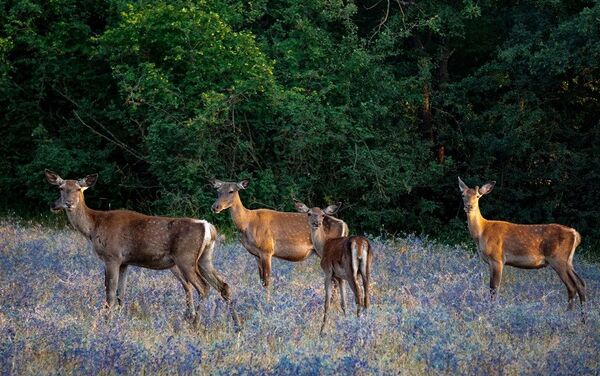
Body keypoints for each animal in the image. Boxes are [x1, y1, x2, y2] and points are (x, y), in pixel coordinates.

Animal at [45, 169, 239, 328]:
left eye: (79, 189)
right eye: (61, 188)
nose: (67, 203)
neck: (94, 227)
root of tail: (208, 227)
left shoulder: (112, 256)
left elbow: (109, 292)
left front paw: (107, 321)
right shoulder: (125, 262)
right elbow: (121, 293)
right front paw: (119, 319)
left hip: (186, 258)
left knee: (203, 287)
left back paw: (195, 324)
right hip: (205, 258)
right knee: (224, 285)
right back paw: (236, 325)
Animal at [213, 181, 350, 296]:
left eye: (231, 191)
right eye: (218, 191)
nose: (215, 207)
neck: (247, 223)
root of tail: (344, 225)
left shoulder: (267, 249)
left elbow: (267, 280)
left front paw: (267, 302)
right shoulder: (256, 254)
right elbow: (261, 280)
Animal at [294, 201, 370, 336]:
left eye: (323, 215)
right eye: (309, 213)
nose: (316, 223)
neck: (323, 246)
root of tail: (360, 243)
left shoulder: (328, 273)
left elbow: (327, 303)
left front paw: (321, 331)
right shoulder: (340, 277)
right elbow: (343, 303)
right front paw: (345, 322)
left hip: (351, 271)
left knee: (358, 295)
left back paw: (358, 324)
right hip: (366, 269)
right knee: (366, 294)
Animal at [460, 176, 584, 308]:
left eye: (478, 196)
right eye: (463, 195)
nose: (469, 206)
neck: (481, 233)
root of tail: (575, 234)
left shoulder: (497, 258)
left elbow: (494, 288)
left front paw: (493, 308)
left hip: (558, 259)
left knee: (572, 287)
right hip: (568, 261)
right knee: (581, 284)